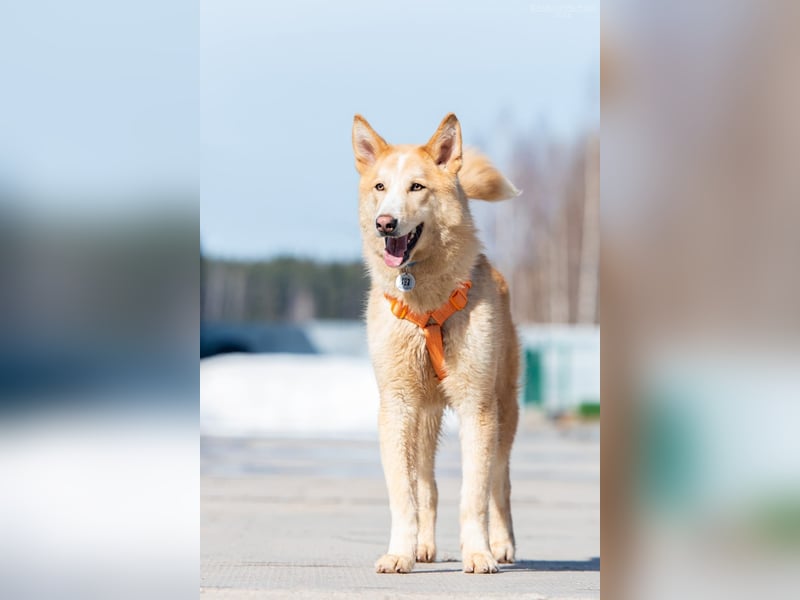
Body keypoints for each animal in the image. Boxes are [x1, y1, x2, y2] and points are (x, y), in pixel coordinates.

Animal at [350, 113, 520, 576]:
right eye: (380, 187)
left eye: (417, 187)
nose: (385, 223)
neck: (424, 302)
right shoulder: (397, 405)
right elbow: (405, 496)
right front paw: (400, 553)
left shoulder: (478, 406)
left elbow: (474, 495)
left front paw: (479, 553)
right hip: (423, 418)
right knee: (427, 486)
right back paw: (424, 547)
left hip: (504, 409)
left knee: (500, 482)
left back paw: (503, 544)